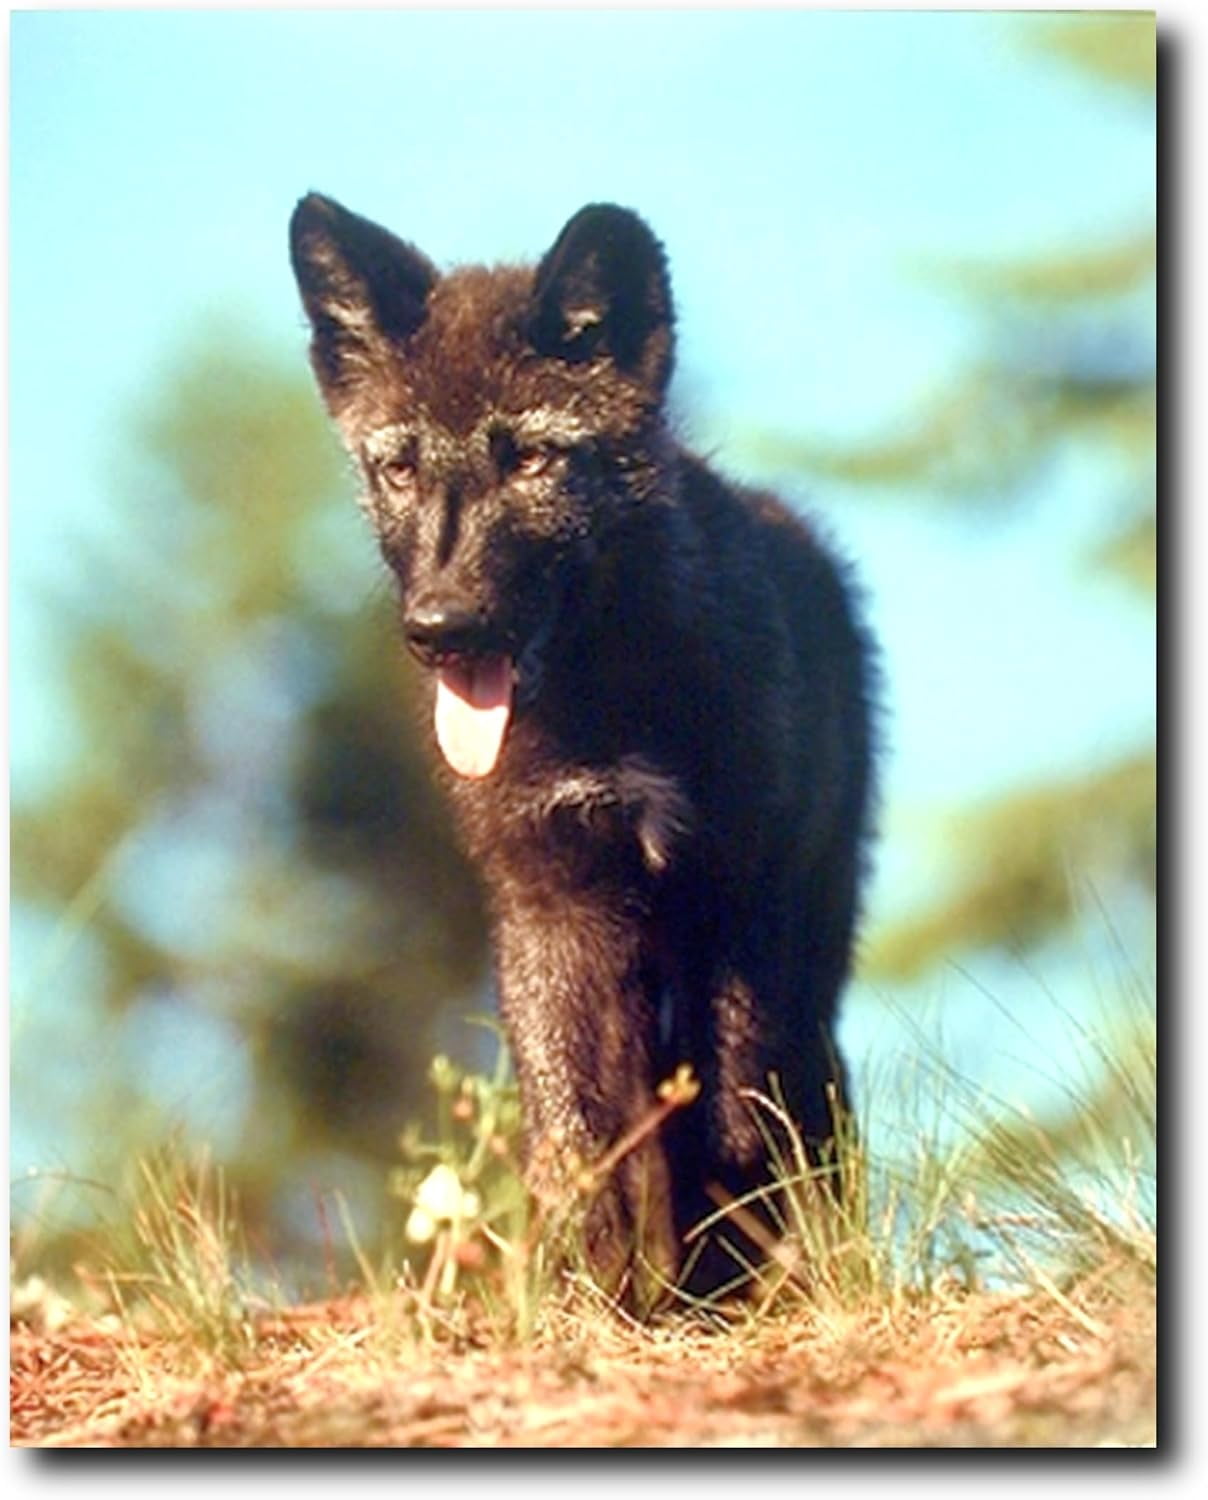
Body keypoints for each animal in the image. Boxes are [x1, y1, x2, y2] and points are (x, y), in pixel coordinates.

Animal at [289, 193, 877, 1297]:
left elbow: (734, 1114)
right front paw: (597, 1297)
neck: (610, 702)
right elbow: (577, 1131)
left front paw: (723, 1282)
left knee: (803, 1093)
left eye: (528, 458)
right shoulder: (552, 899)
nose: (441, 628)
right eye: (399, 467)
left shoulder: (741, 890)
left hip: (812, 926)